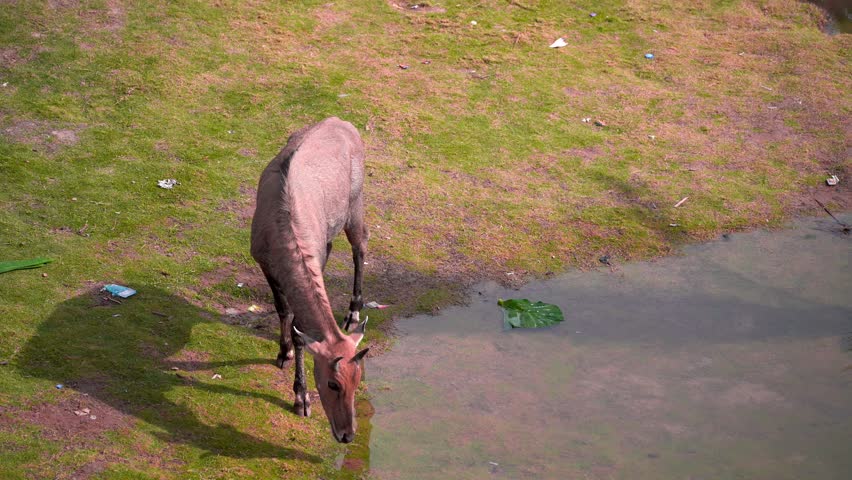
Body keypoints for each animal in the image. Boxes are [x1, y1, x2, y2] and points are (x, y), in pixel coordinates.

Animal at [250, 117, 370, 444]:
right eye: (333, 383)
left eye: (358, 380)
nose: (347, 434)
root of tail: (342, 122)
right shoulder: (263, 262)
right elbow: (285, 311)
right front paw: (284, 353)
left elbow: (297, 325)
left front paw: (300, 398)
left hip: (355, 204)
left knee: (360, 247)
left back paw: (353, 313)